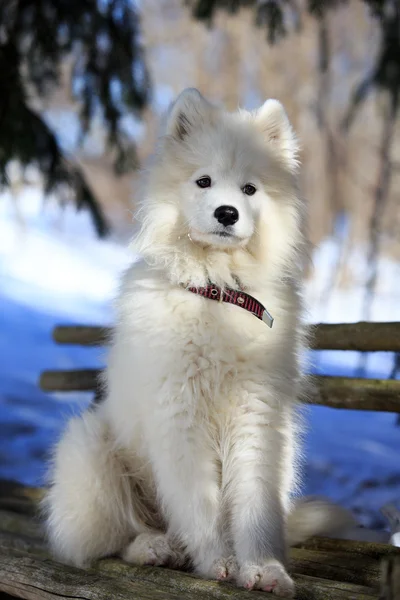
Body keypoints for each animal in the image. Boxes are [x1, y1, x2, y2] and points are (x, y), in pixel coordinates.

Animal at [44, 89, 354, 596]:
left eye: (249, 190)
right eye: (203, 181)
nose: (226, 213)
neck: (217, 291)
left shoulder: (256, 417)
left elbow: (254, 506)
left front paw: (263, 569)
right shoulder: (180, 418)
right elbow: (201, 507)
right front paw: (218, 563)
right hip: (89, 447)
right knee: (111, 539)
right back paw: (157, 547)